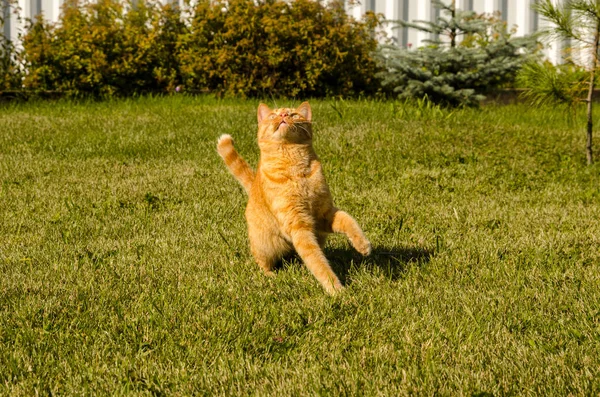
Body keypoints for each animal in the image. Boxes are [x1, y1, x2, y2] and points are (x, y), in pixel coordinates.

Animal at [217, 102, 370, 294]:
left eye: (293, 114)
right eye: (273, 115)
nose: (283, 115)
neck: (295, 168)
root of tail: (253, 186)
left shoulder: (323, 215)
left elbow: (348, 220)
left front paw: (363, 245)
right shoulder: (298, 225)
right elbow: (318, 262)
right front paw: (336, 289)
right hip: (265, 246)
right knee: (261, 261)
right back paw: (269, 275)